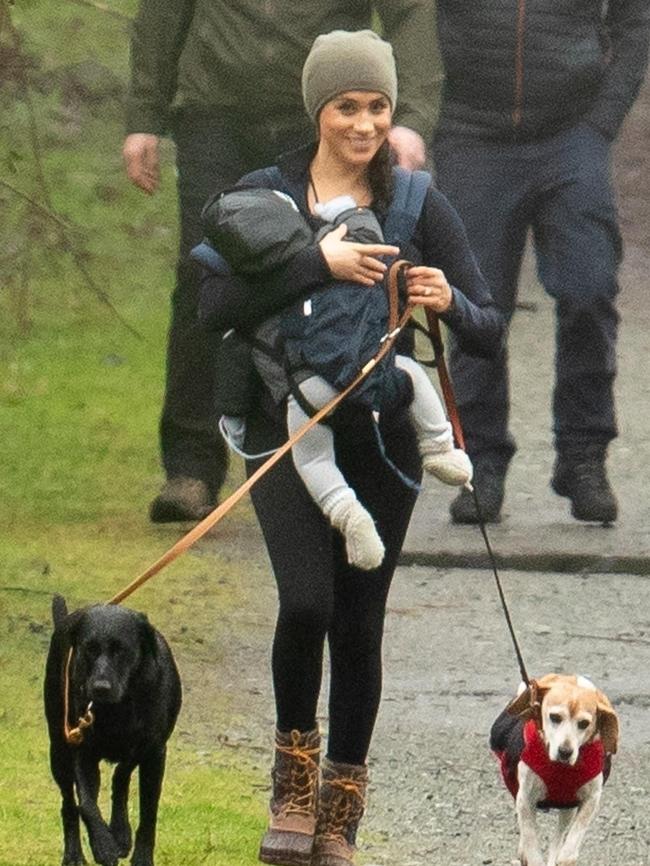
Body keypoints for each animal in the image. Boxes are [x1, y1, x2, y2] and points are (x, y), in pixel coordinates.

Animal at [43, 592, 181, 864]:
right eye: (89, 648)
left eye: (122, 650)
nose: (100, 688)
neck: (119, 707)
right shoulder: (81, 749)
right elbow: (86, 804)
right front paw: (103, 845)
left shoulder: (154, 752)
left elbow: (148, 812)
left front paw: (139, 855)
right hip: (59, 750)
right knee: (69, 804)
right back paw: (75, 854)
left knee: (120, 778)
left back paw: (120, 831)